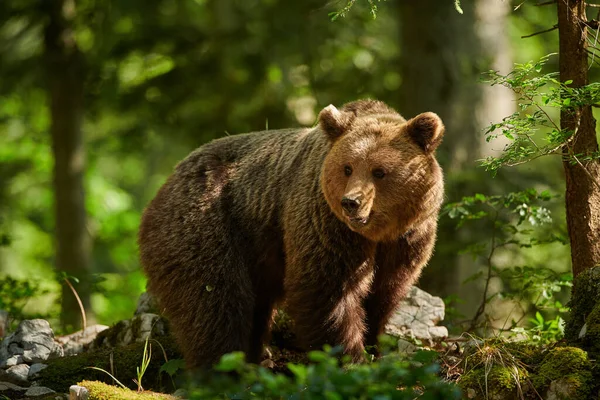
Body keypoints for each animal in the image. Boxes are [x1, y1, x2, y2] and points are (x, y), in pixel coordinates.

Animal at [138, 100, 442, 368]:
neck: (378, 234)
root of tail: (171, 176)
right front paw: (350, 358)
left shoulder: (408, 240)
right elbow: (328, 291)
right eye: (347, 167)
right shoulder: (326, 223)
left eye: (379, 171)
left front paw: (374, 348)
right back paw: (224, 368)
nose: (351, 202)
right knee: (215, 300)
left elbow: (383, 296)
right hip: (209, 223)